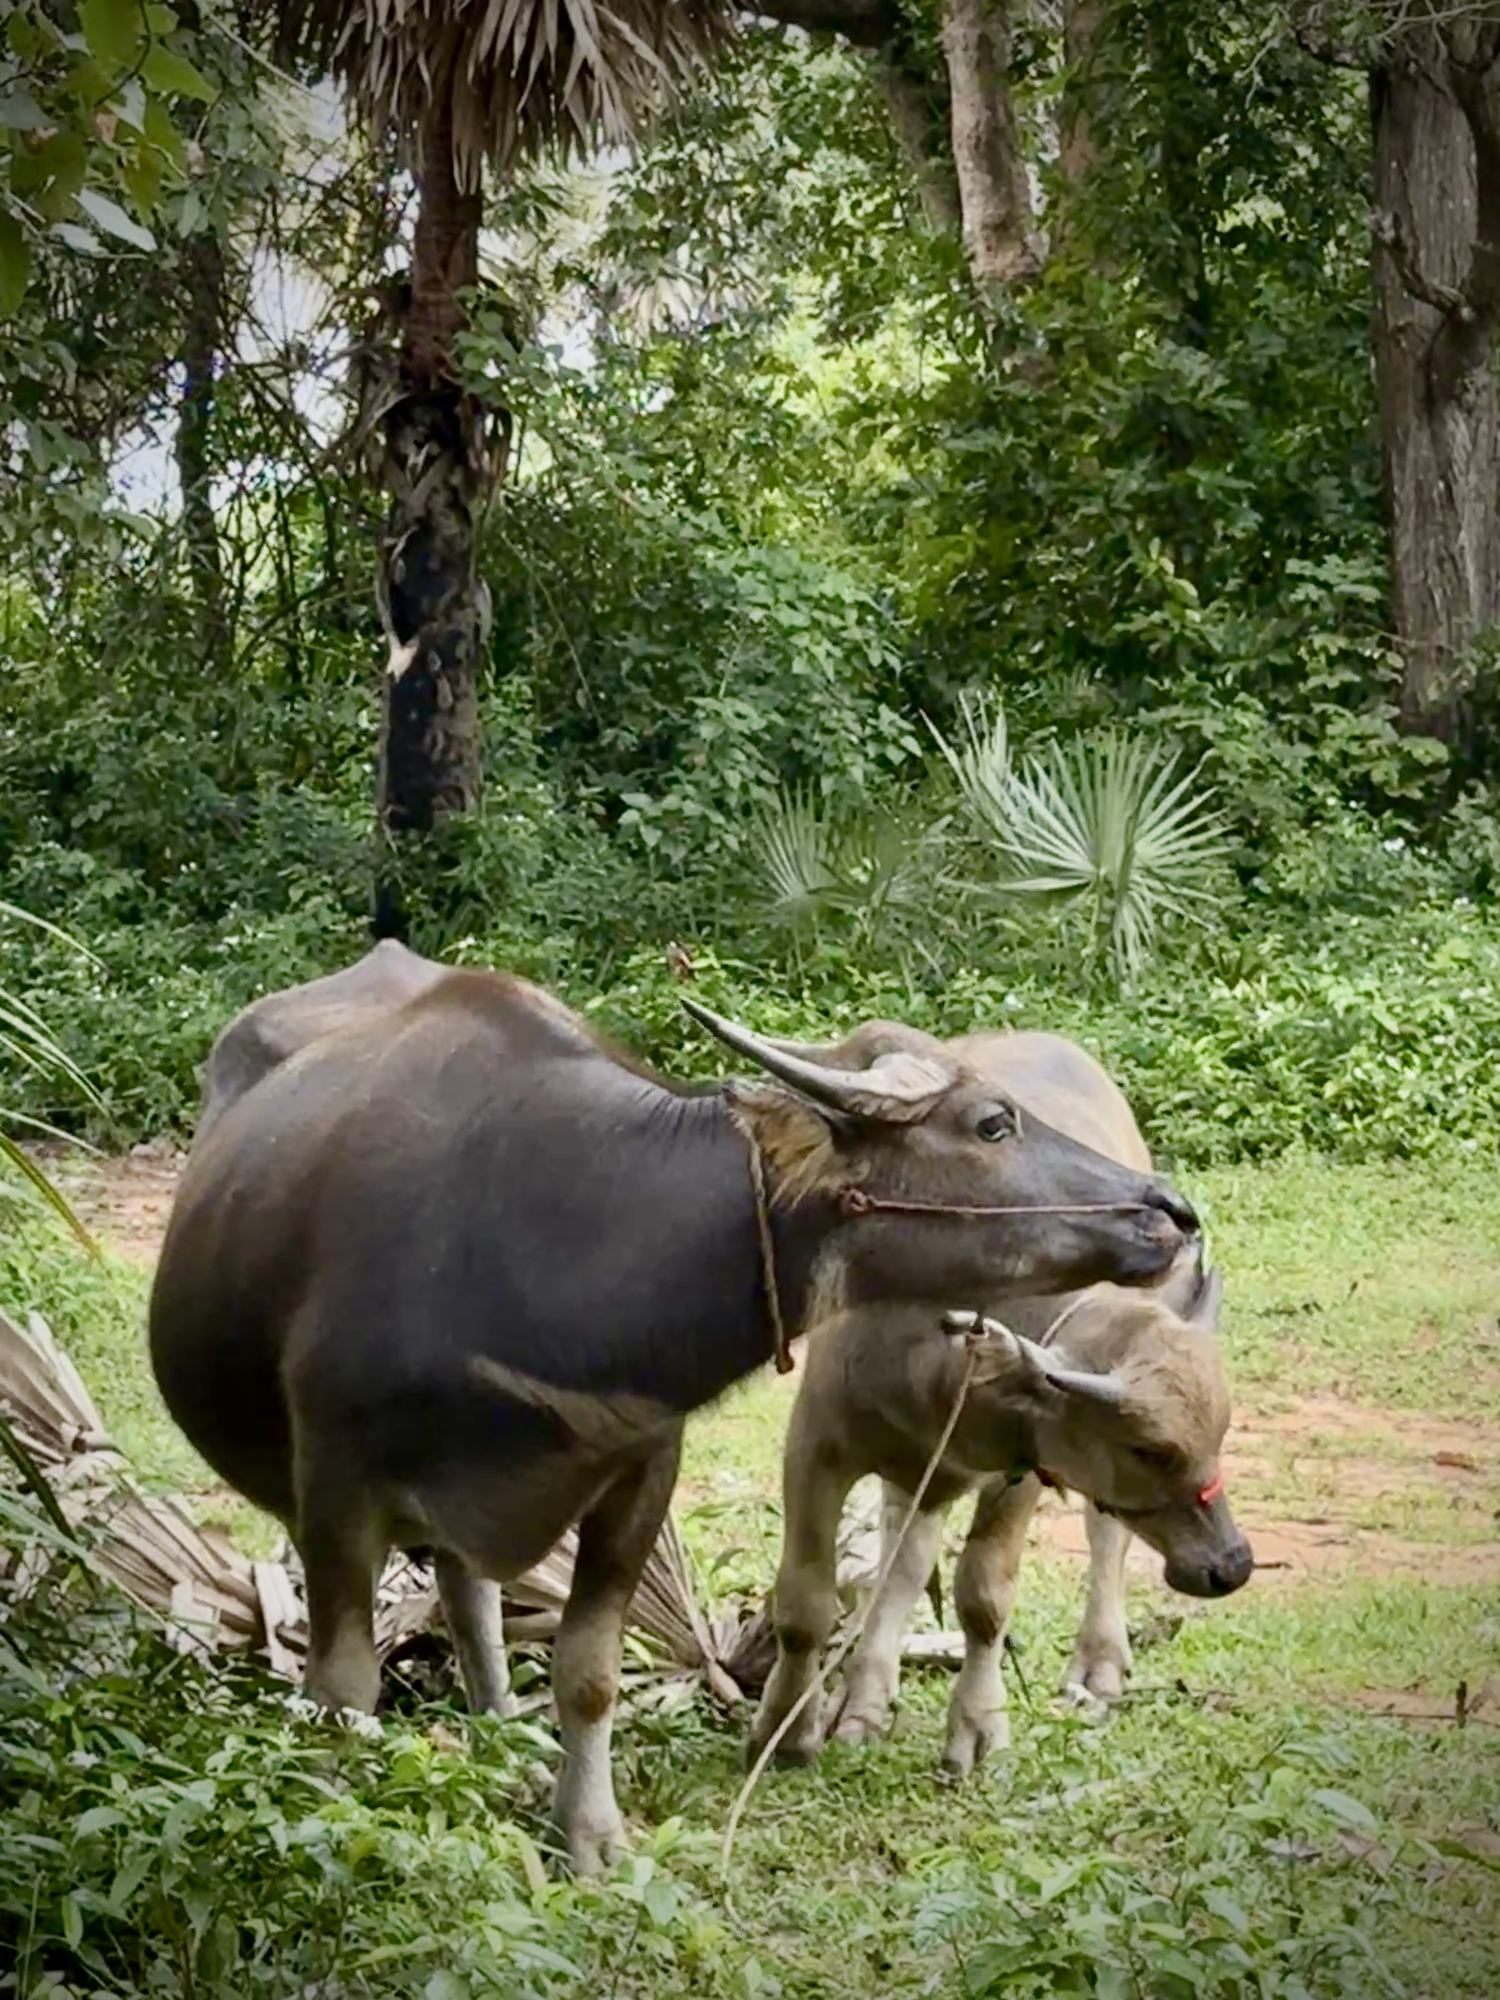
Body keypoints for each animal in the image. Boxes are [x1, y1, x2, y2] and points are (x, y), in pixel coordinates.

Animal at [149, 950, 1200, 1871]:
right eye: (992, 1123)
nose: (1171, 1211)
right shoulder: (334, 1490)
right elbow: (341, 1689)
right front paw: (329, 1822)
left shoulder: (641, 1474)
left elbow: (588, 1672)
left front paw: (588, 1833)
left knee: (468, 1592)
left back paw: (502, 1733)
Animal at [750, 1031, 1252, 1776]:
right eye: (1148, 1450)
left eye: (1219, 1436)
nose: (1232, 1565)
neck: (931, 1348)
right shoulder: (817, 1443)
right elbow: (806, 1600)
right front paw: (786, 1728)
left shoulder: (1024, 1467)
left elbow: (984, 1597)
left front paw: (978, 1727)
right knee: (903, 1561)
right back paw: (864, 1699)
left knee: (1104, 1536)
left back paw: (1098, 1665)